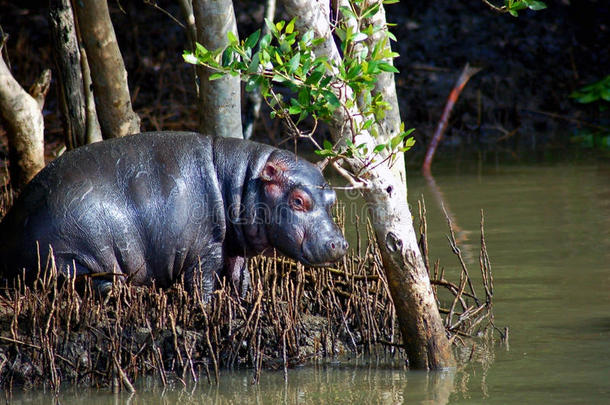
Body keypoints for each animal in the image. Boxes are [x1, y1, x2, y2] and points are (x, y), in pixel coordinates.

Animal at [0, 132, 346, 294]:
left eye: (331, 197)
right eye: (299, 200)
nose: (340, 244)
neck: (241, 179)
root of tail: (9, 222)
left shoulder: (232, 246)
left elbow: (240, 278)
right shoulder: (204, 249)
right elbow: (203, 285)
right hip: (72, 254)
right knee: (89, 283)